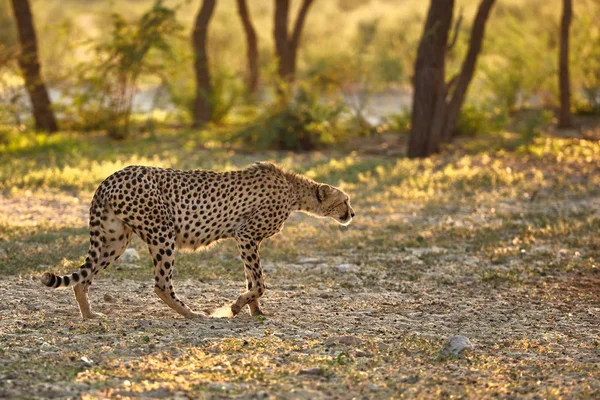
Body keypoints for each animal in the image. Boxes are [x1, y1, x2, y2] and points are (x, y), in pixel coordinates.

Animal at [42, 162, 354, 318]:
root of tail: (111, 178)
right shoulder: (246, 235)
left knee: (83, 278)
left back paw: (89, 315)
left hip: (115, 239)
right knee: (161, 284)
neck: (293, 189)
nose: (352, 213)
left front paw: (255, 311)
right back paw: (192, 314)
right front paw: (237, 307)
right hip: (162, 232)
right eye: (345, 200)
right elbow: (259, 282)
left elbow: (252, 280)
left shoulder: (247, 240)